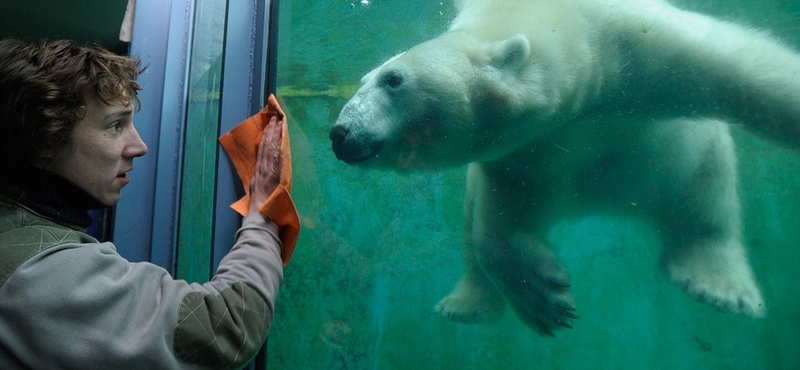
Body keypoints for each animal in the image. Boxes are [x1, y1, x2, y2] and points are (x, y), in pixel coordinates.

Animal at [326, 0, 800, 336]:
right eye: (362, 80)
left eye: (393, 80)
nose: (339, 133)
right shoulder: (528, 149)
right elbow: (499, 219)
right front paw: (545, 296)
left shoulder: (636, 41)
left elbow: (746, 67)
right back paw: (466, 305)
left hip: (682, 157)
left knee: (706, 195)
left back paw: (720, 286)